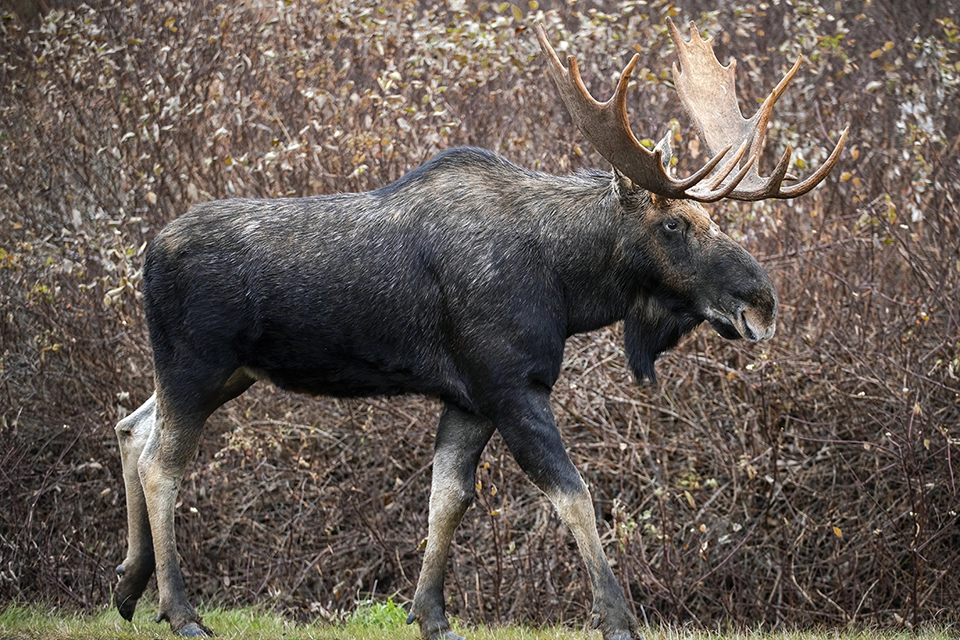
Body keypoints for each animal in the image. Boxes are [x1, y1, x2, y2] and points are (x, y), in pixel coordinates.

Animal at [113, 18, 846, 639]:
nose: (762, 303)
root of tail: (145, 254)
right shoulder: (510, 385)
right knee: (161, 463)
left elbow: (449, 498)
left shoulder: (467, 398)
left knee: (132, 425)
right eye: (674, 224)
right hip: (196, 363)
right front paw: (617, 618)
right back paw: (180, 611)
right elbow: (574, 496)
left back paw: (126, 587)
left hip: (220, 372)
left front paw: (432, 615)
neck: (568, 286)